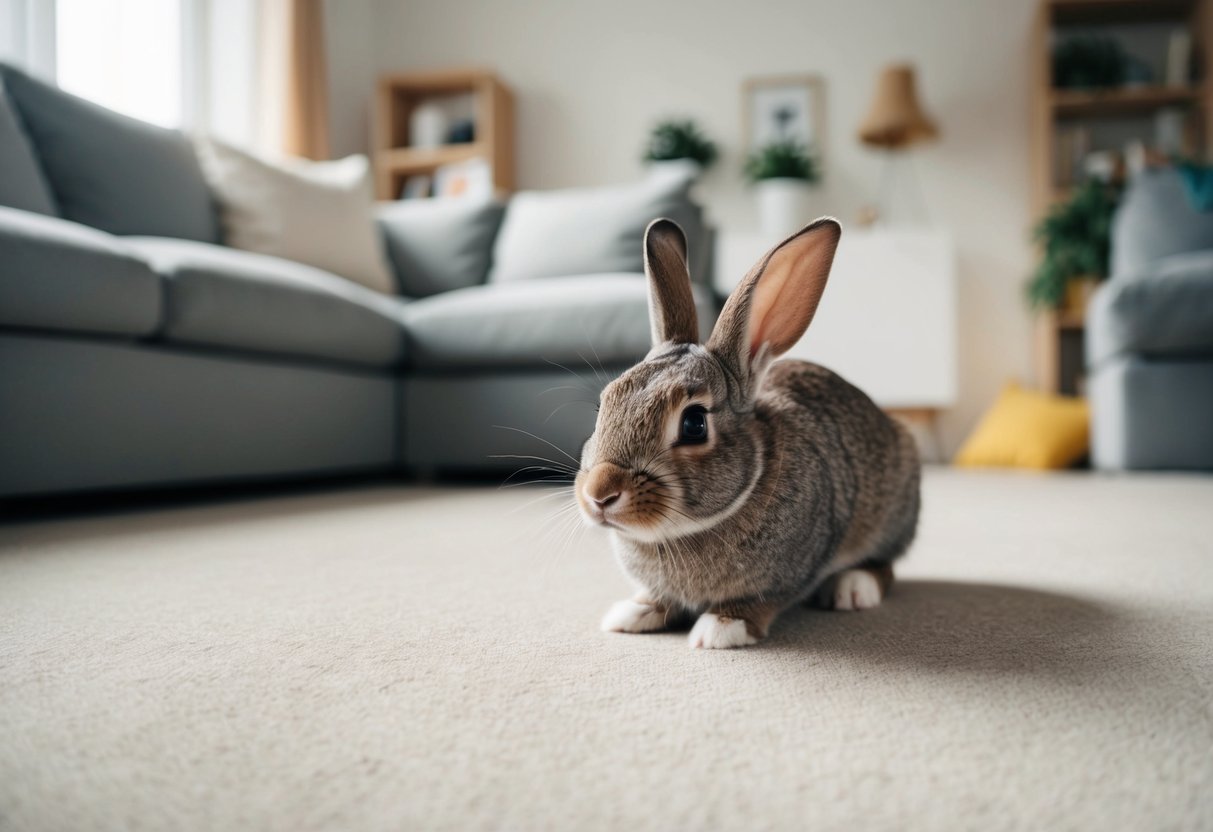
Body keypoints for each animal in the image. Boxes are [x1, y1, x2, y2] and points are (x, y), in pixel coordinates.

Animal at [574, 217, 920, 649]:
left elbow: (761, 600)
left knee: (886, 564)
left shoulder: (791, 571)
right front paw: (633, 613)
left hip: (891, 512)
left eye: (694, 424)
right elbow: (658, 598)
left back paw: (854, 588)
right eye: (602, 405)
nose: (599, 494)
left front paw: (720, 628)